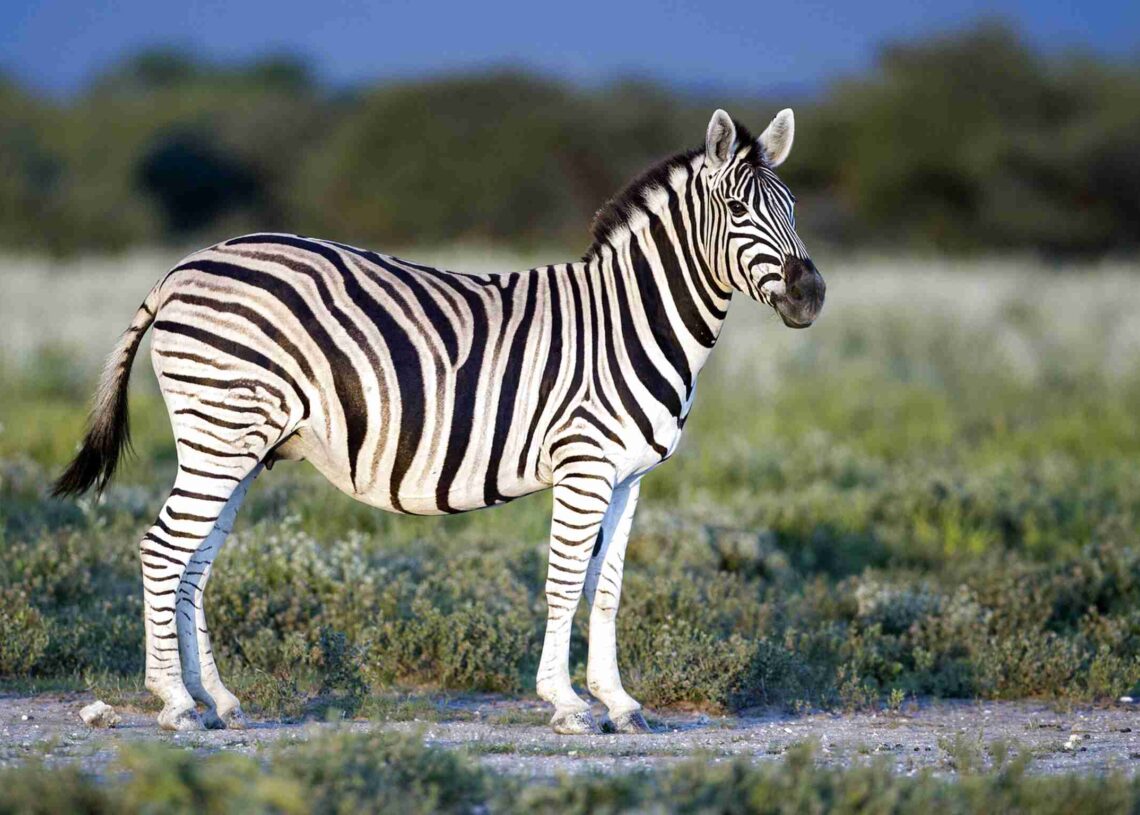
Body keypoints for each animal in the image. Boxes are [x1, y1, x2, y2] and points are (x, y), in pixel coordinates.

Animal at [53, 108, 824, 734]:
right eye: (738, 209)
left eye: (792, 208)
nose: (811, 294)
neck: (630, 319)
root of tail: (182, 268)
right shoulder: (584, 463)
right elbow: (564, 581)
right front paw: (568, 703)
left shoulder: (630, 475)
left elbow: (606, 589)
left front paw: (620, 702)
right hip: (220, 431)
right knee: (163, 549)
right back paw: (175, 704)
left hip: (236, 443)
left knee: (192, 563)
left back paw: (216, 699)